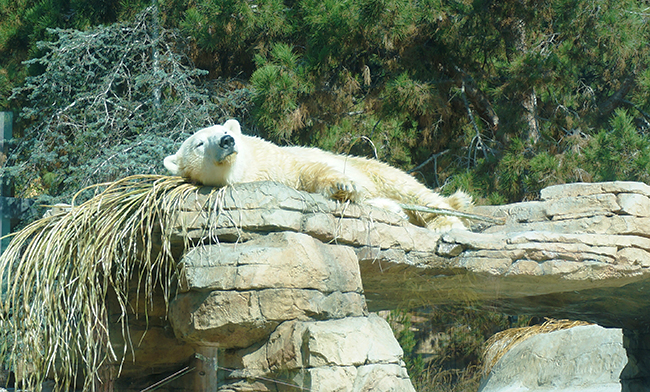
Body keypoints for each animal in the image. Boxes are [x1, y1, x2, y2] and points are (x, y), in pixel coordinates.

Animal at [163, 118, 470, 231]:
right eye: (199, 143)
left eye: (224, 129)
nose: (227, 141)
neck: (253, 169)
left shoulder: (284, 160)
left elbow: (311, 169)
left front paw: (343, 183)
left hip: (373, 167)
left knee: (409, 188)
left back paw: (450, 217)